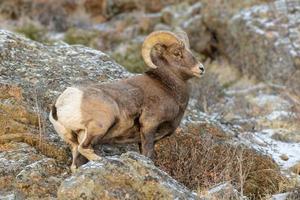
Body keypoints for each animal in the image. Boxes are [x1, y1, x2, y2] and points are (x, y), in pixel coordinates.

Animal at [49, 30, 204, 171]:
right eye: (177, 53)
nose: (201, 68)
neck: (167, 87)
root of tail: (61, 104)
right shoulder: (149, 126)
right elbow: (148, 156)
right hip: (100, 126)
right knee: (85, 148)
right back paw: (104, 160)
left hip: (76, 139)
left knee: (76, 163)